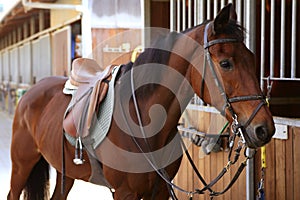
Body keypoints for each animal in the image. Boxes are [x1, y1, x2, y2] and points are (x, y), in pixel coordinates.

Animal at [7, 4, 274, 200]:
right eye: (226, 63)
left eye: (252, 57)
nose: (264, 128)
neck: (142, 120)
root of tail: (30, 93)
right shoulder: (125, 193)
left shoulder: (160, 192)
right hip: (21, 165)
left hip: (65, 173)